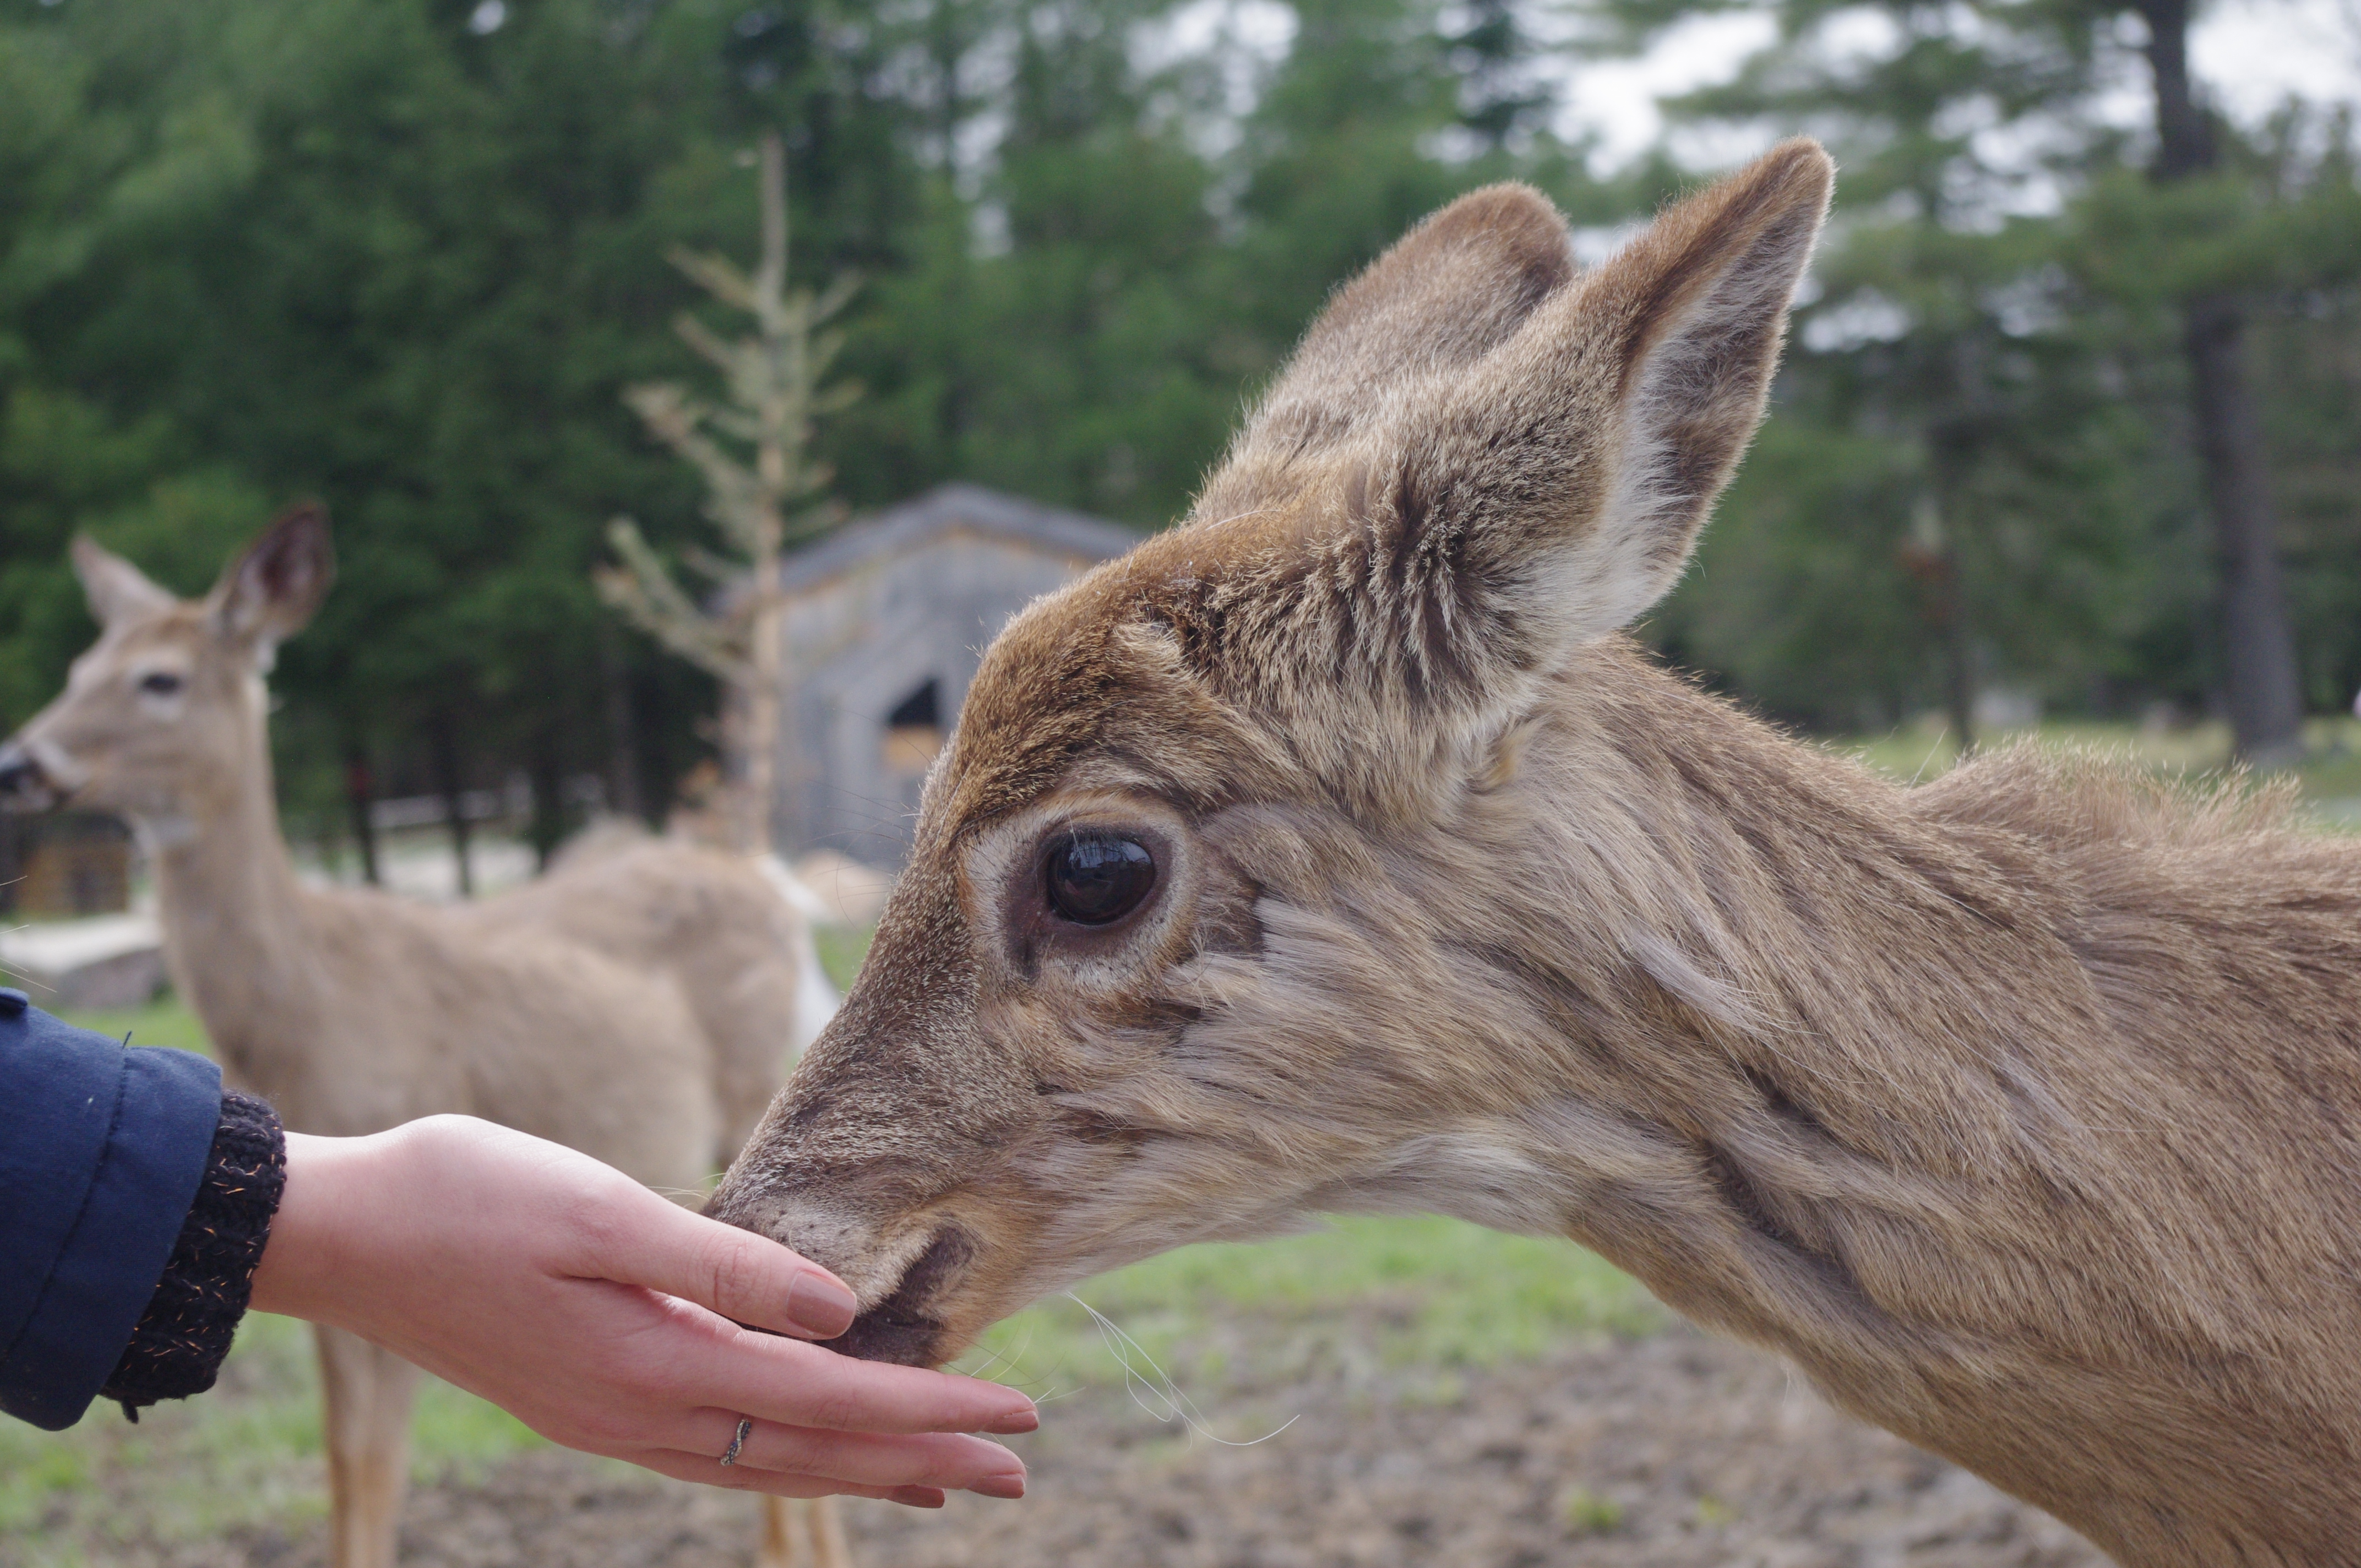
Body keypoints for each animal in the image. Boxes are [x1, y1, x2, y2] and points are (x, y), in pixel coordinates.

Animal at [0, 512, 850, 1567]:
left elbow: (378, 1458)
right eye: (80, 664)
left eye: (160, 677)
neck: (310, 1011)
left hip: (754, 1092)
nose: (22, 762)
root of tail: (776, 891)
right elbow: (342, 1456)